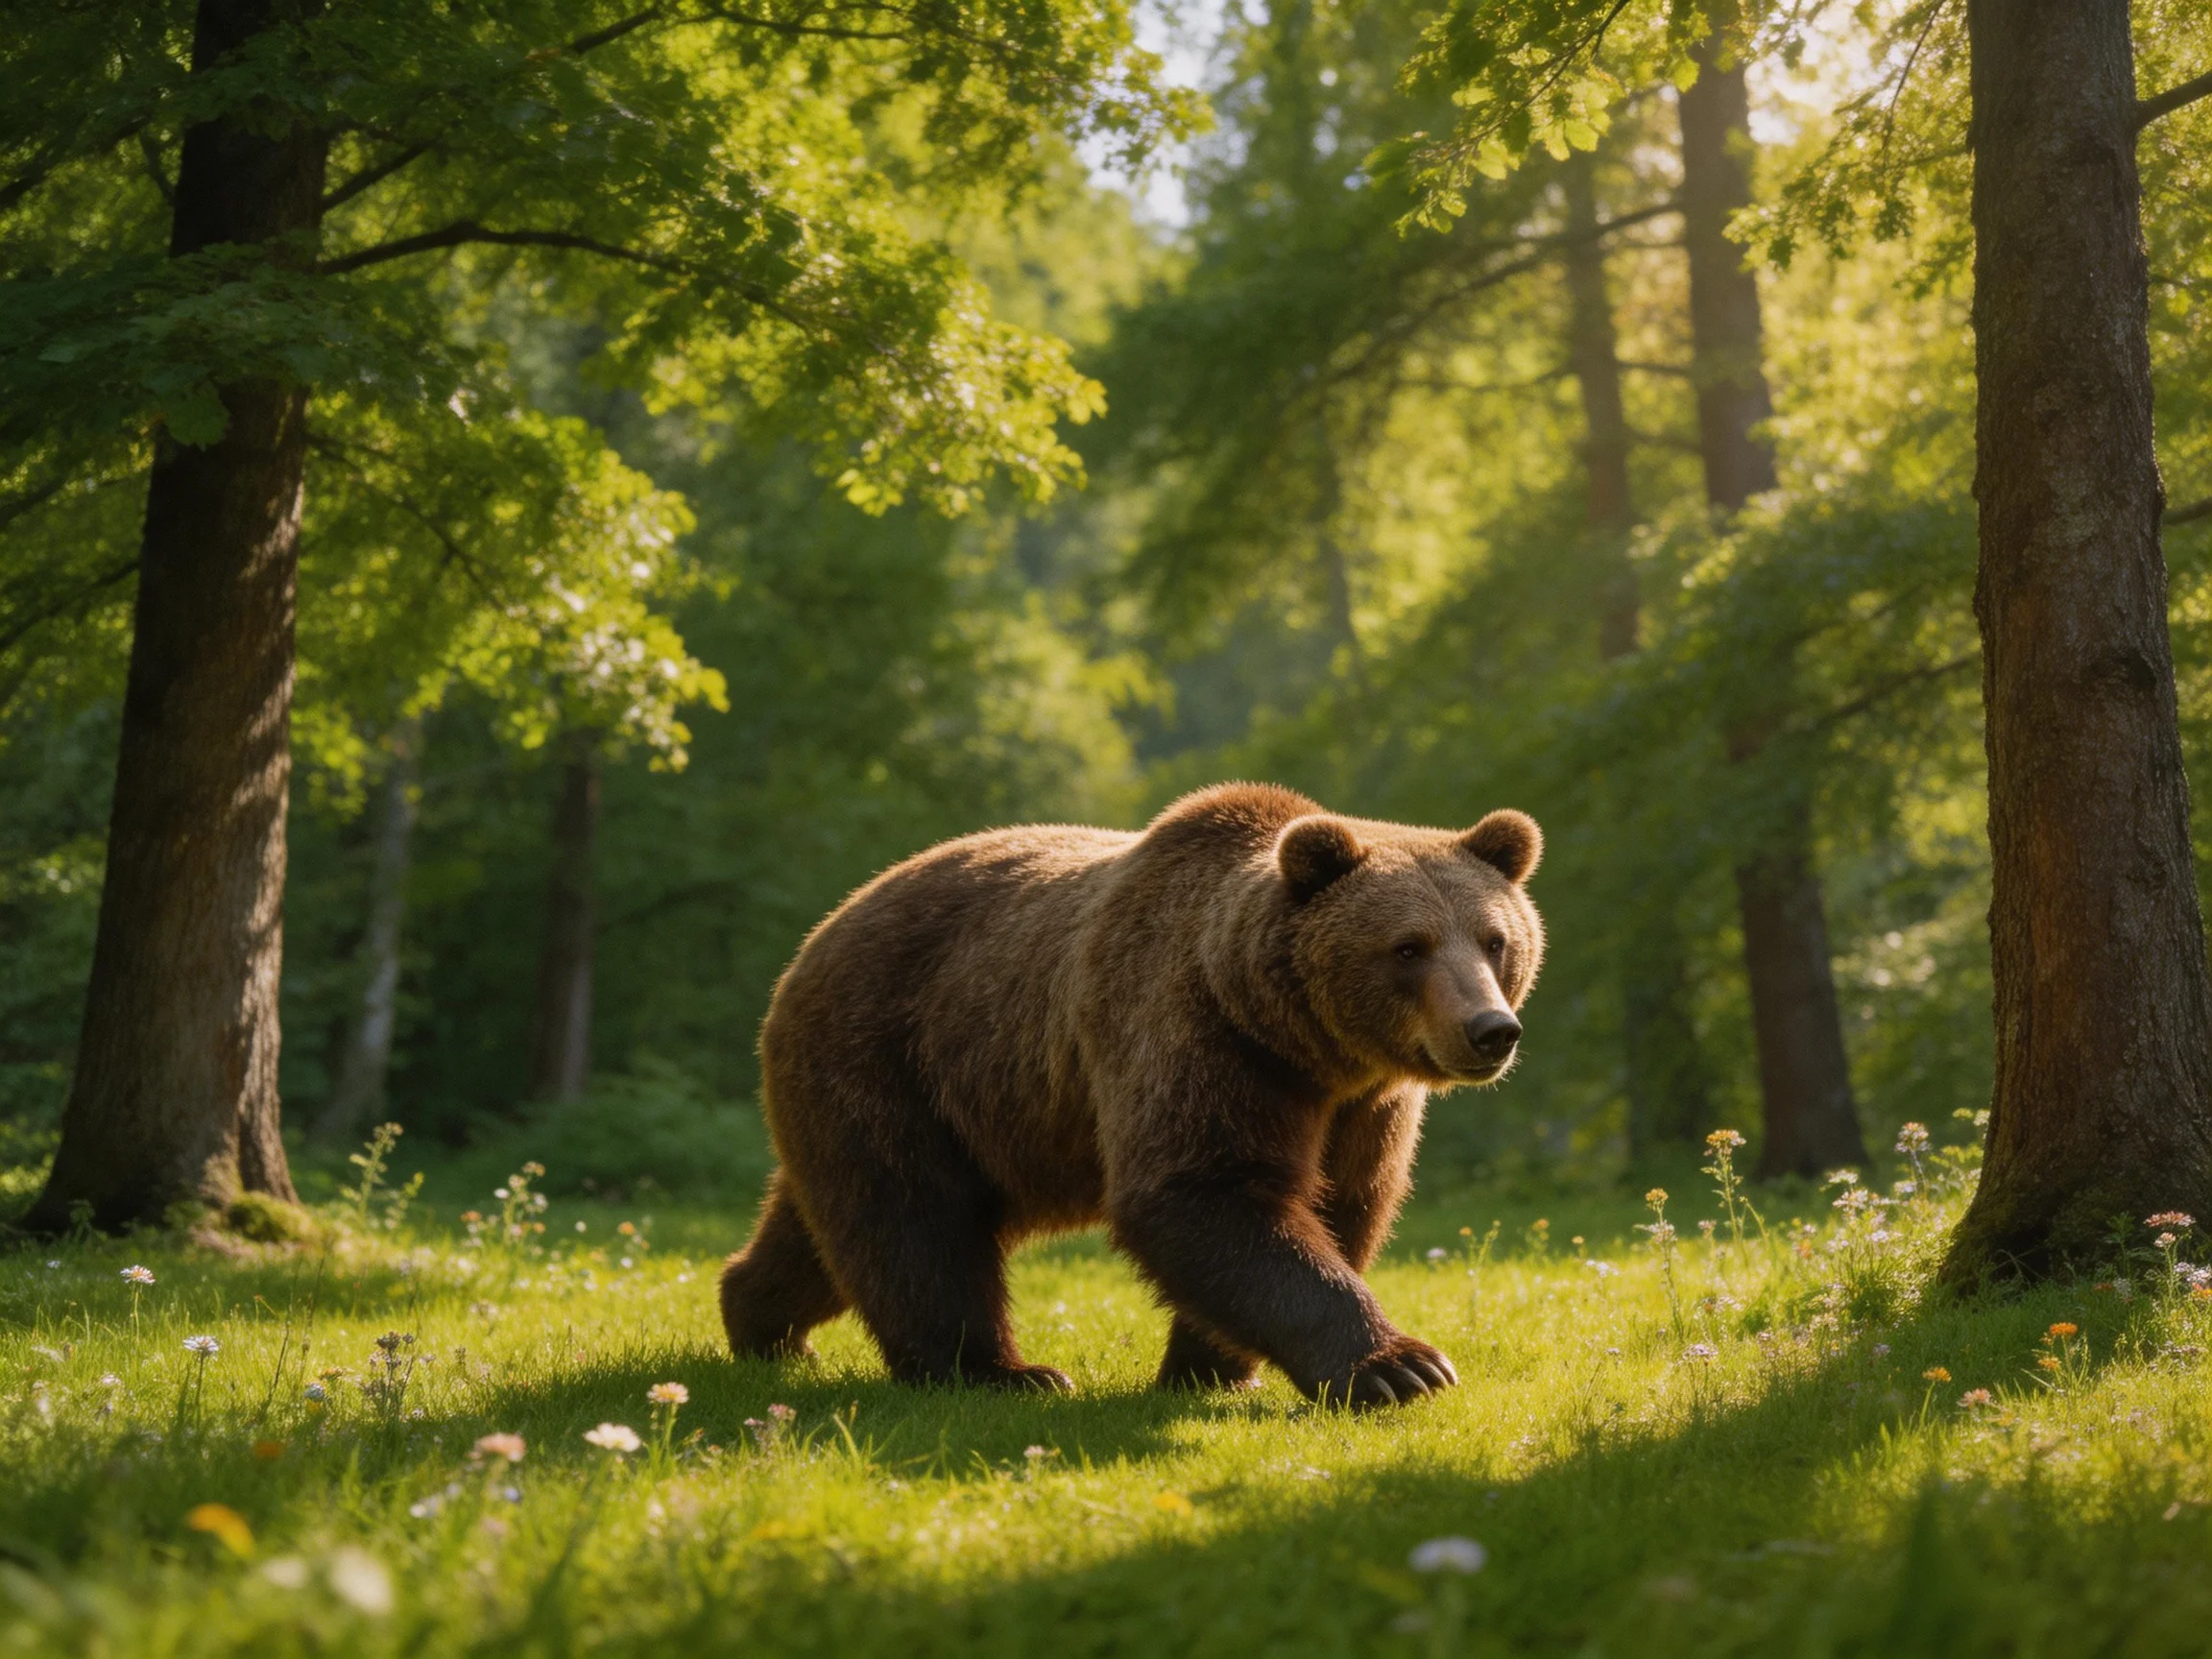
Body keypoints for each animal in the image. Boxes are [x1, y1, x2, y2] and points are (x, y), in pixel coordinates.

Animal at [719, 781, 1543, 1407]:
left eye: (1495, 940)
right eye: (1408, 947)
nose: (1490, 1030)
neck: (1301, 1044)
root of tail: (816, 936)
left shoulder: (1363, 1104)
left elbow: (1345, 1201)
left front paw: (1212, 1370)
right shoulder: (1194, 1035)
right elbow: (1204, 1192)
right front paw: (1401, 1367)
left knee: (825, 1230)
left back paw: (762, 1322)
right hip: (896, 1055)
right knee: (913, 1221)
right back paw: (1000, 1372)